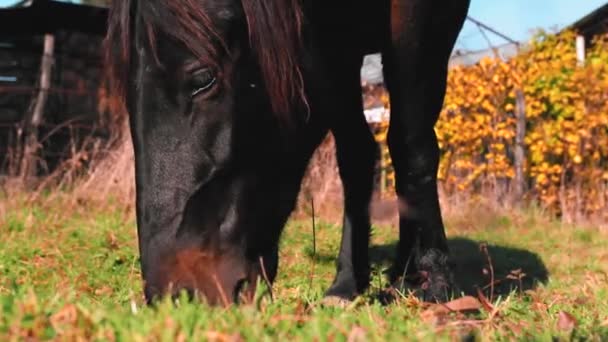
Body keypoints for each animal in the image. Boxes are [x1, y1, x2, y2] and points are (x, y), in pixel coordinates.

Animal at [104, 0, 470, 304]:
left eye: (203, 79)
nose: (175, 295)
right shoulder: (332, 48)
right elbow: (355, 154)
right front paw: (347, 284)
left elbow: (411, 144)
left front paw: (437, 278)